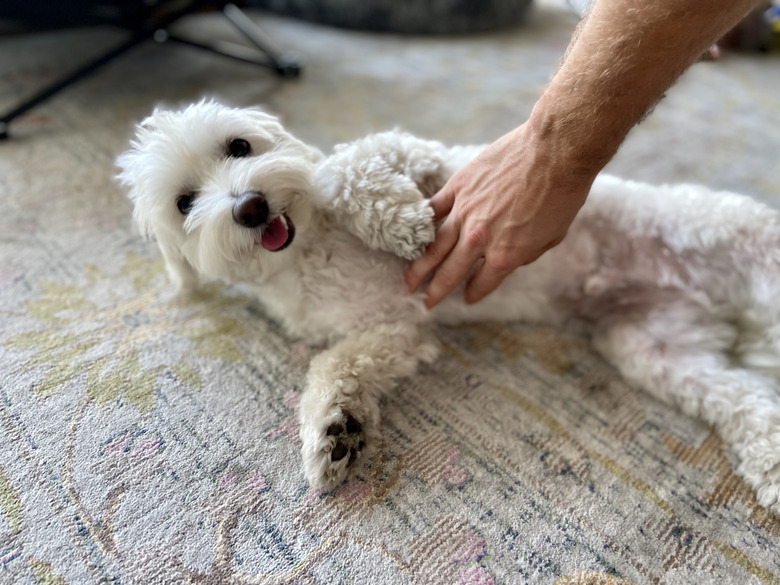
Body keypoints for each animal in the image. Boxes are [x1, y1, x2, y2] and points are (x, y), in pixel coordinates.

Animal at [116, 101, 780, 516]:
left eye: (239, 145)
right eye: (184, 202)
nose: (250, 206)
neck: (309, 253)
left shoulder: (431, 162)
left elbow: (344, 167)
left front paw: (403, 225)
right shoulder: (394, 330)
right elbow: (336, 366)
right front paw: (336, 432)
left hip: (736, 240)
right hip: (659, 351)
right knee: (747, 401)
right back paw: (770, 462)